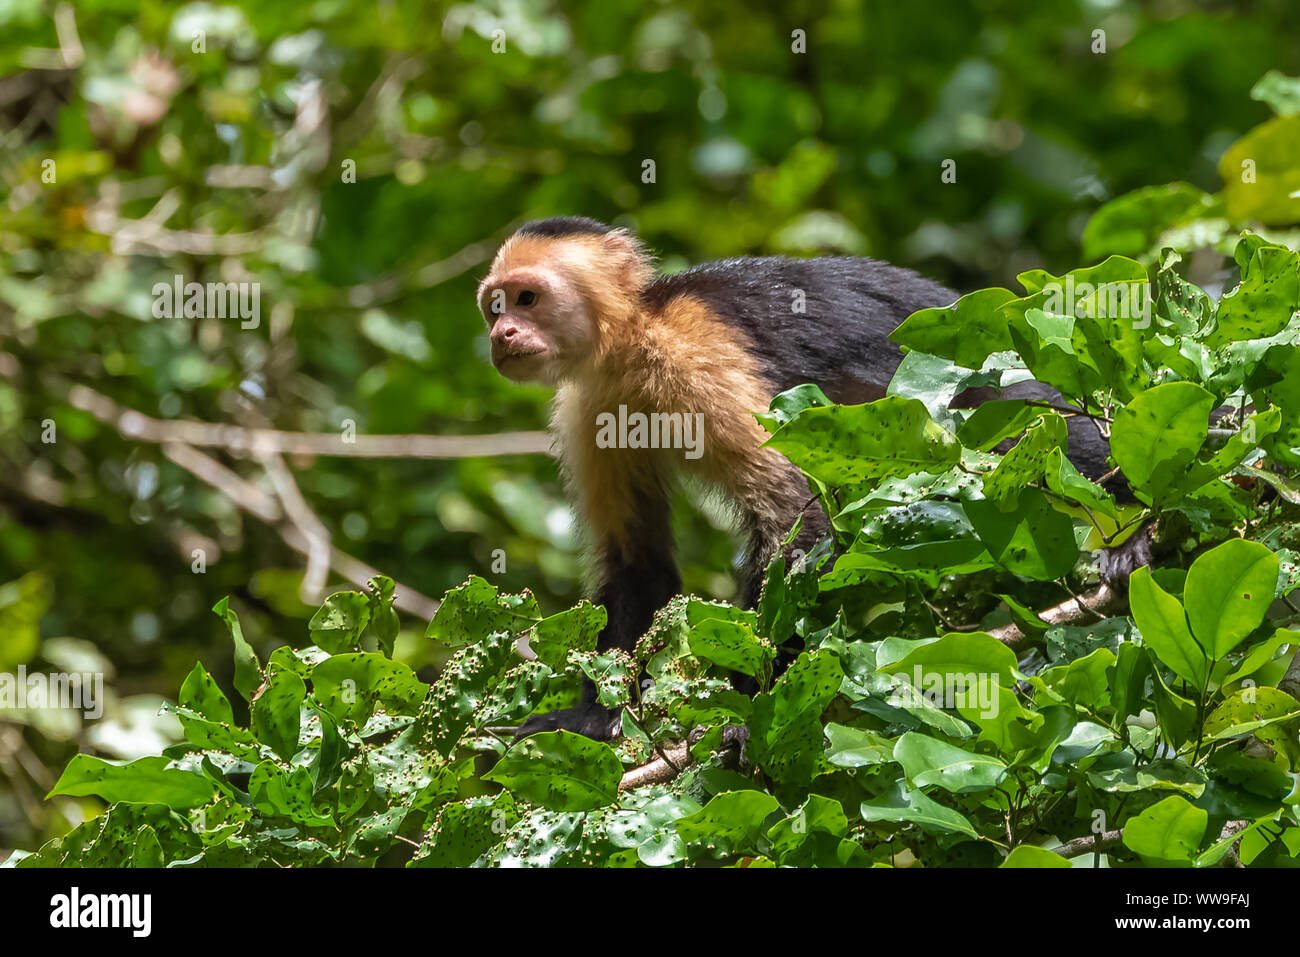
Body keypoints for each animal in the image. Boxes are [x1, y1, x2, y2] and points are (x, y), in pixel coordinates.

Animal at [476, 216, 1135, 740]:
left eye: (528, 298)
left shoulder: (697, 350)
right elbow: (639, 564)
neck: (630, 344)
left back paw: (1133, 529)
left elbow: (798, 521)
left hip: (1002, 362)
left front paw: (750, 709)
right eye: (496, 307)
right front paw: (593, 718)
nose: (500, 336)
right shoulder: (591, 404)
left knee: (1038, 425)